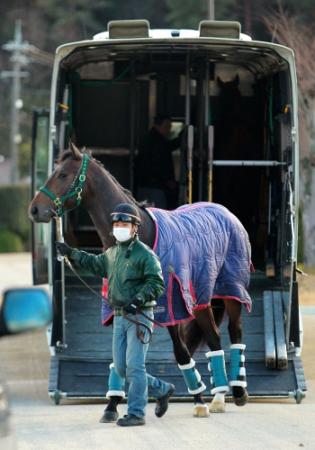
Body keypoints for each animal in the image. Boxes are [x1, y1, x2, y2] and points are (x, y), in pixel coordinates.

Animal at [29, 142, 252, 416]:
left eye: (62, 174)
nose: (34, 209)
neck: (138, 236)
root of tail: (226, 213)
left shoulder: (170, 309)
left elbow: (181, 353)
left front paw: (198, 402)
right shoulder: (121, 310)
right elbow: (120, 358)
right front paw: (113, 404)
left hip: (230, 291)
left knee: (232, 333)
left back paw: (234, 393)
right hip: (202, 298)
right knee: (214, 338)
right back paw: (219, 396)